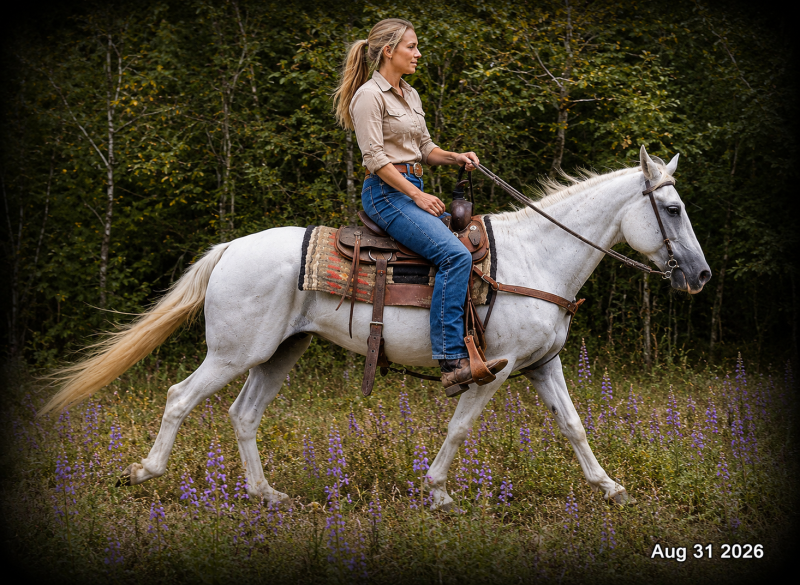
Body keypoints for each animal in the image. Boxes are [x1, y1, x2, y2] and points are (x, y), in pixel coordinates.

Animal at [42, 146, 711, 510]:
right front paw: (438, 491)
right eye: (672, 208)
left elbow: (573, 426)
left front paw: (611, 488)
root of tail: (231, 247)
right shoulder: (495, 371)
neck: (537, 257)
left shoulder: (542, 364)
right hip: (234, 352)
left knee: (243, 415)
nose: (700, 275)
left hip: (279, 353)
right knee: (181, 397)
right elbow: (461, 425)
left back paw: (267, 496)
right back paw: (145, 473)